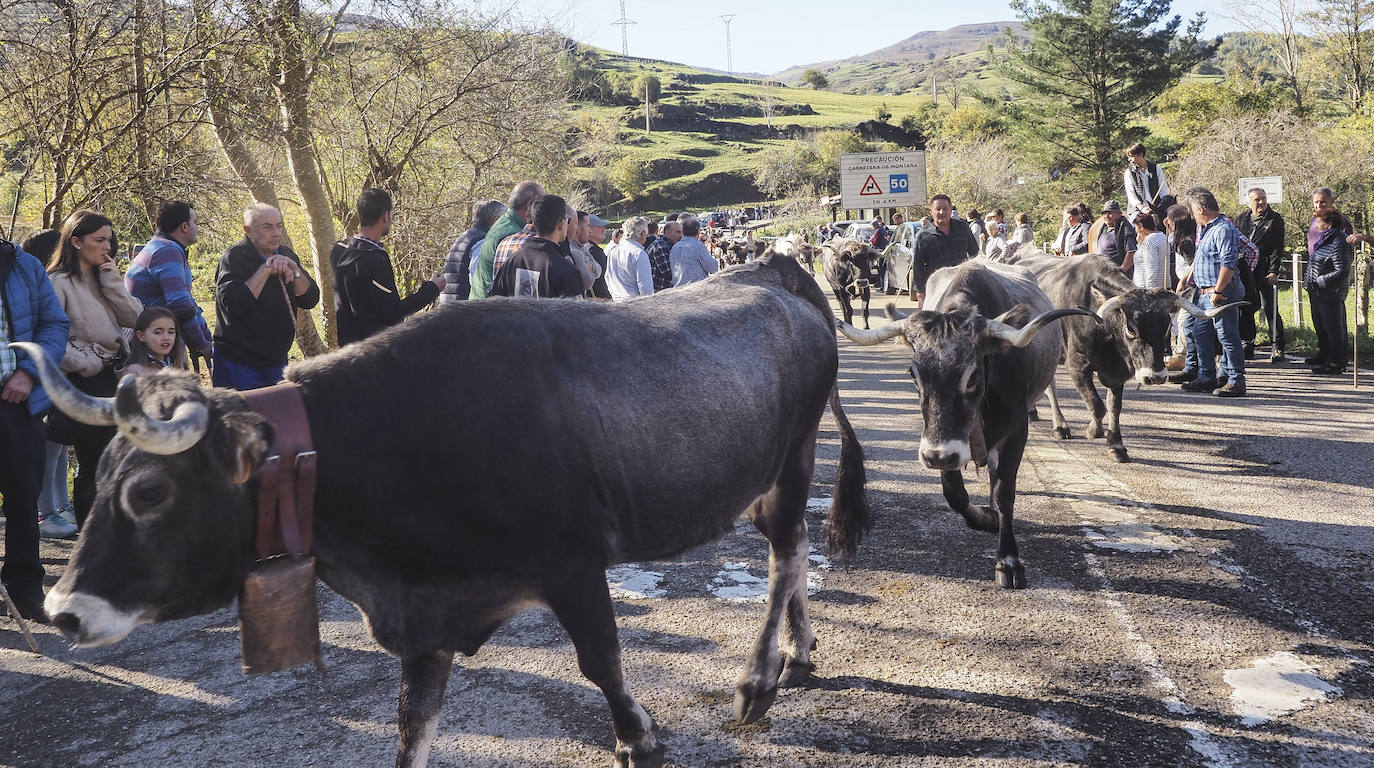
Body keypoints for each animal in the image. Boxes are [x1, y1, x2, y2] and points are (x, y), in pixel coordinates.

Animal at [16, 233, 868, 768]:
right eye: (102, 478)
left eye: (150, 491)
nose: (63, 610)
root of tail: (773, 271)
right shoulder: (426, 619)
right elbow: (411, 728)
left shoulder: (571, 563)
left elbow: (601, 661)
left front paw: (639, 738)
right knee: (788, 556)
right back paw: (798, 656)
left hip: (794, 458)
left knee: (787, 554)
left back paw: (759, 680)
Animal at [829, 258, 1088, 588]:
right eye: (914, 374)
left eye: (973, 376)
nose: (936, 456)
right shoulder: (943, 446)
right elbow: (954, 492)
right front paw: (986, 518)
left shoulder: (1016, 431)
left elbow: (1005, 491)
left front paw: (1008, 560)